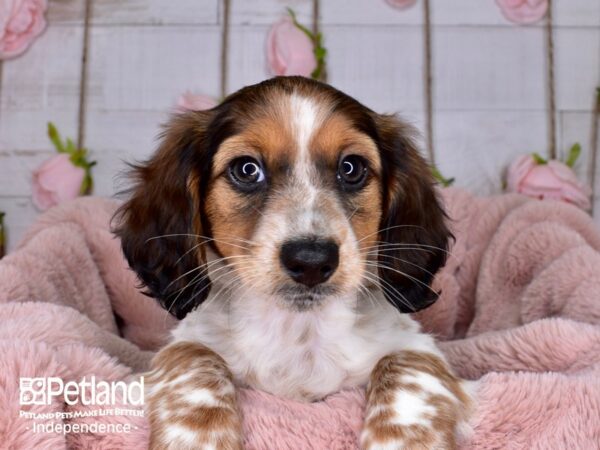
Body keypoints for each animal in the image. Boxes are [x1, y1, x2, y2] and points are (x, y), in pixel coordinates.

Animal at [115, 77, 474, 450]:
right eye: (246, 169)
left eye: (351, 168)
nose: (312, 260)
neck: (299, 330)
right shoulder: (188, 340)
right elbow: (195, 358)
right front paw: (199, 438)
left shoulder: (415, 345)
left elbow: (402, 366)